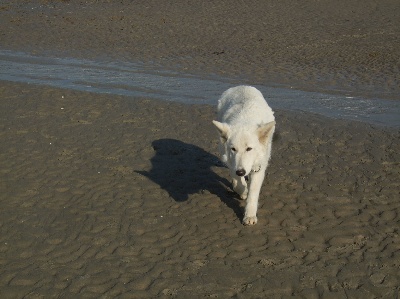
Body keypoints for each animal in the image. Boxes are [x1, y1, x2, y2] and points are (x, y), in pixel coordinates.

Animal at [212, 85, 276, 226]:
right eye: (233, 149)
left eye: (249, 149)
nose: (241, 171)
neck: (244, 121)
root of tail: (241, 86)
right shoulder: (230, 160)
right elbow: (239, 183)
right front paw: (242, 190)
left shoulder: (259, 167)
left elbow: (253, 193)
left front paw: (249, 215)